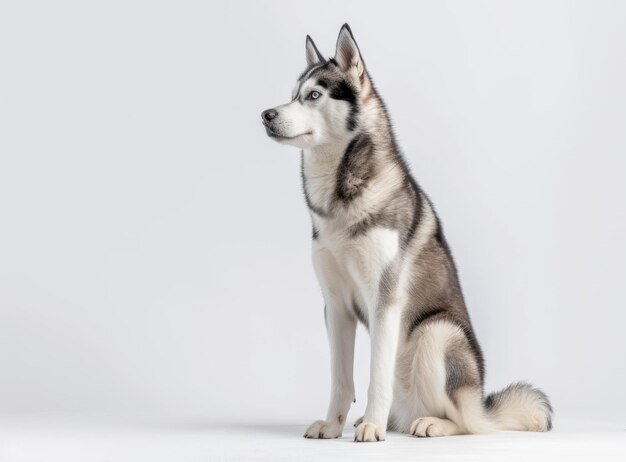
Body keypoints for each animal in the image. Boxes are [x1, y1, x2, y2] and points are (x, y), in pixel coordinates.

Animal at [260, 24, 552, 440]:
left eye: (314, 95)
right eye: (293, 94)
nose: (266, 115)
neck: (339, 203)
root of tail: (480, 401)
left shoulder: (385, 299)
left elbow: (375, 377)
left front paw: (371, 428)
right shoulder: (335, 305)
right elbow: (340, 379)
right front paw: (334, 425)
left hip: (437, 332)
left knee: (471, 424)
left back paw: (428, 423)